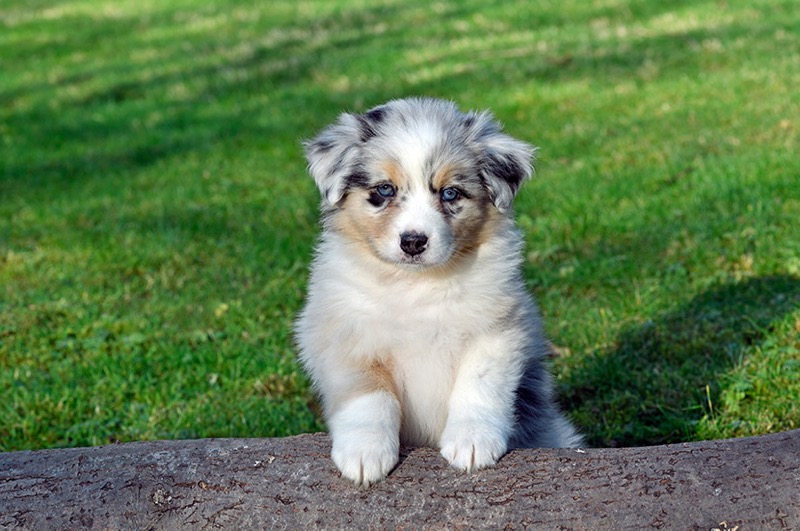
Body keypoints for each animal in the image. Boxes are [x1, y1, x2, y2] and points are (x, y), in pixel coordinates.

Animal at [296, 95, 584, 486]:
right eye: (384, 190)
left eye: (450, 193)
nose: (413, 242)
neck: (417, 285)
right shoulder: (345, 335)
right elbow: (368, 397)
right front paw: (364, 454)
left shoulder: (499, 329)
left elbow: (479, 385)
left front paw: (472, 443)